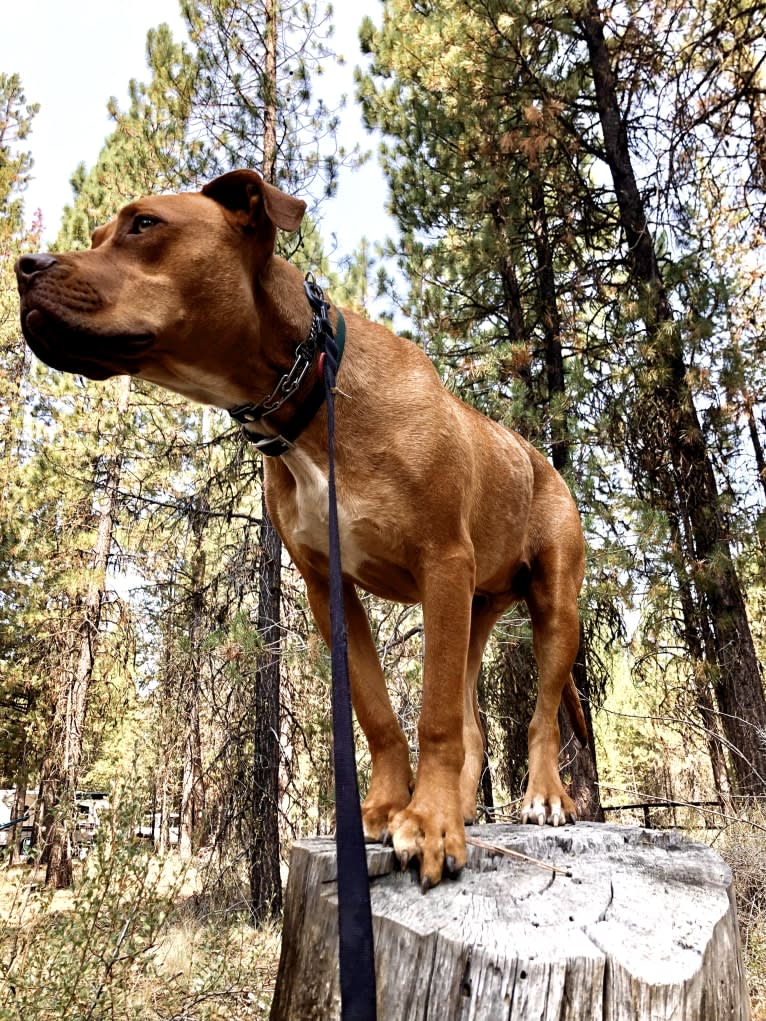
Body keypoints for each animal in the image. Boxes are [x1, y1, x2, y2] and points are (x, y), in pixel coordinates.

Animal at [15, 171, 588, 890]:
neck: (310, 392)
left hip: (552, 606)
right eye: (94, 235)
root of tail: (541, 460)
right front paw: (387, 808)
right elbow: (376, 710)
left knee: (539, 715)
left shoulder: (441, 563)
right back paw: (462, 803)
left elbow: (431, 716)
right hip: (471, 613)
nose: (23, 267)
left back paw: (543, 797)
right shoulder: (329, 586)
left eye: (143, 225)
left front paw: (428, 824)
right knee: (473, 722)